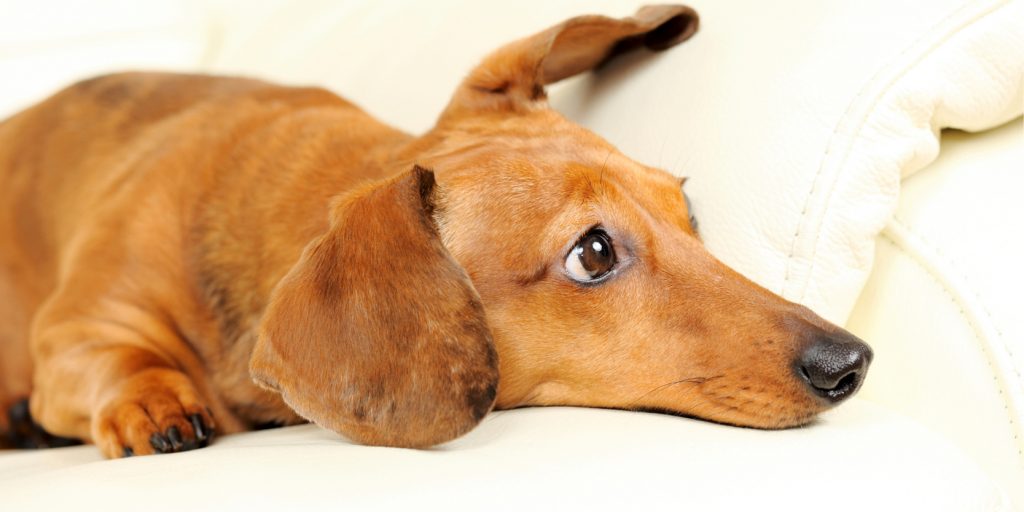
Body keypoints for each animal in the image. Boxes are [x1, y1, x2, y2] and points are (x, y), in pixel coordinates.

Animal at [0, 4, 872, 458]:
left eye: (688, 211)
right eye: (593, 253)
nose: (852, 362)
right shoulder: (76, 331)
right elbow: (115, 363)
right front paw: (150, 400)